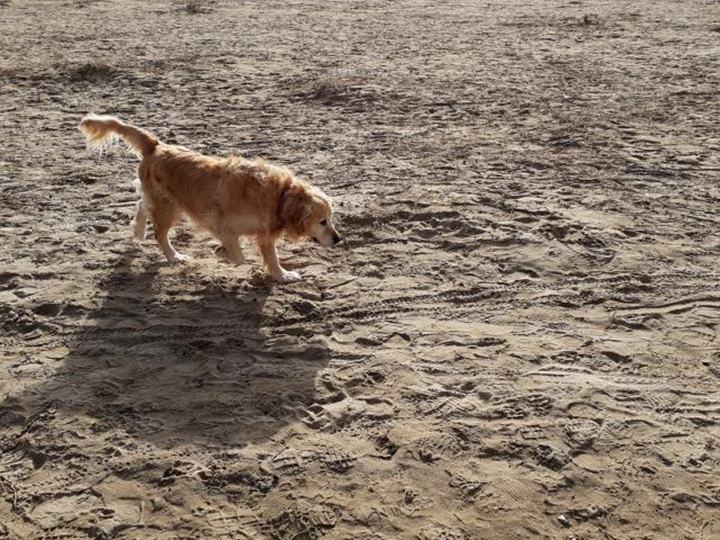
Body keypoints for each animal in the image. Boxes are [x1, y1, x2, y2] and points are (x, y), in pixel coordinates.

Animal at [77, 114, 342, 282]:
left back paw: (139, 230)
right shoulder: (222, 223)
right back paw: (174, 256)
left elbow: (269, 256)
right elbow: (240, 256)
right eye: (323, 221)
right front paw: (224, 253)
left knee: (142, 204)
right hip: (169, 207)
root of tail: (157, 145)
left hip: (166, 203)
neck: (280, 195)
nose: (339, 239)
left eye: (330, 219)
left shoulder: (264, 233)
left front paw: (280, 274)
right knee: (159, 233)